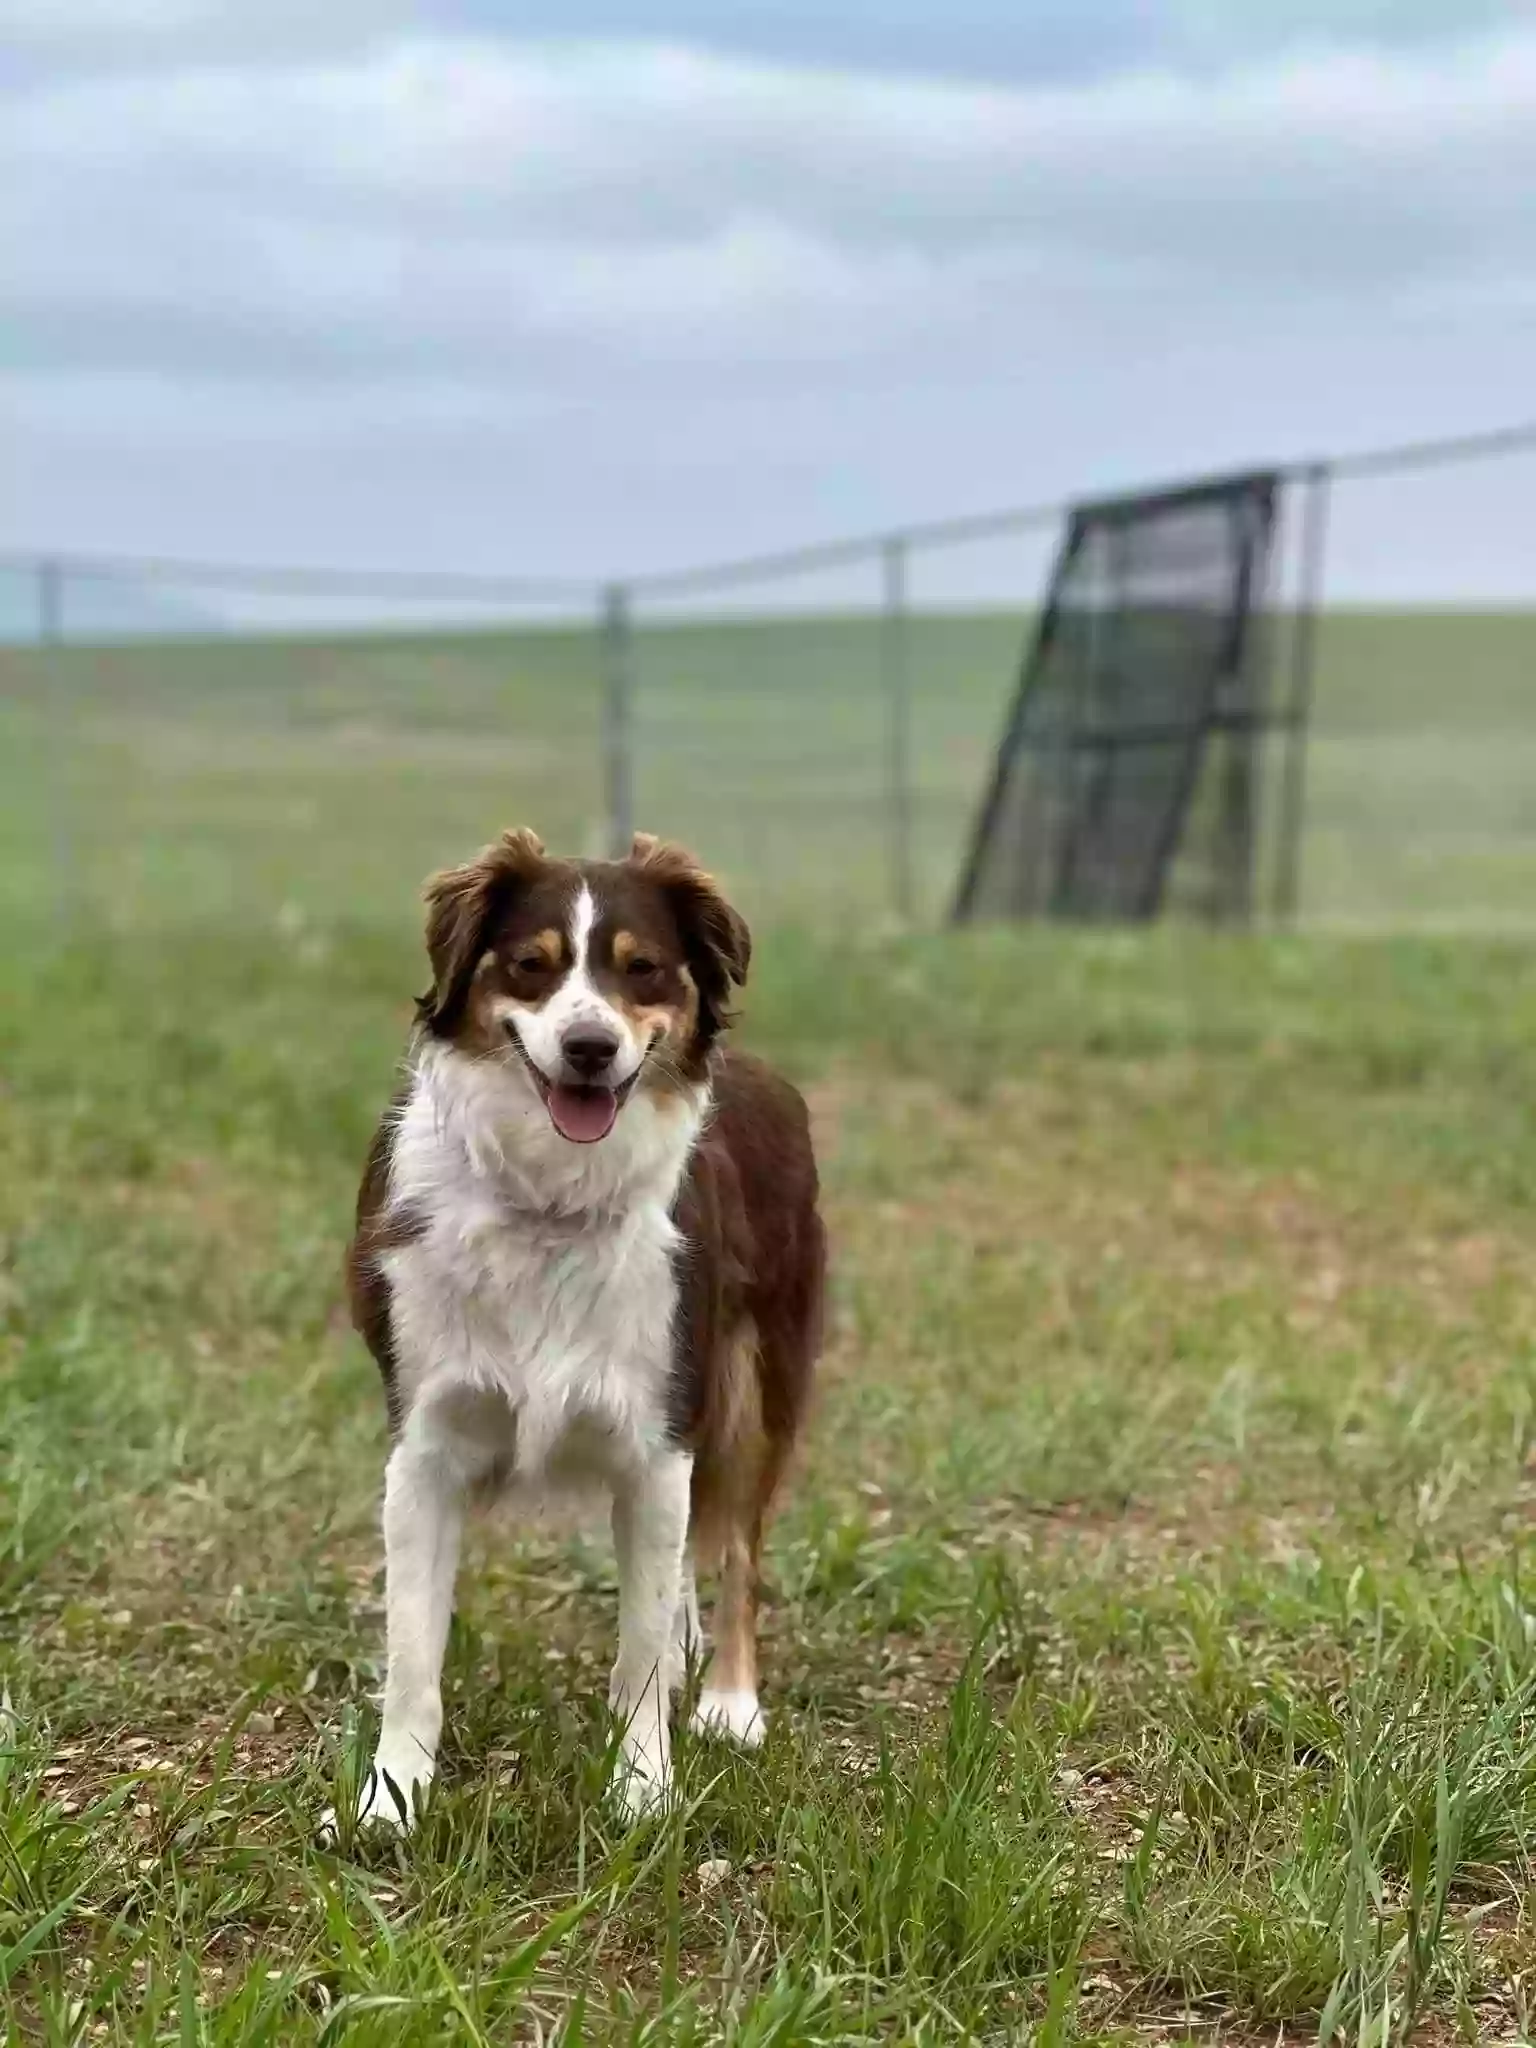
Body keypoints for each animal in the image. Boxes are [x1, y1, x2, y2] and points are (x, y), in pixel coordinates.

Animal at [335, 827, 823, 1826]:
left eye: (643, 972)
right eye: (532, 966)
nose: (591, 1048)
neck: (547, 1199)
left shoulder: (657, 1434)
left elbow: (637, 1647)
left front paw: (642, 1787)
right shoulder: (425, 1442)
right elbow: (411, 1649)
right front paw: (392, 1797)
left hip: (757, 1384)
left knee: (737, 1551)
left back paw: (729, 1699)